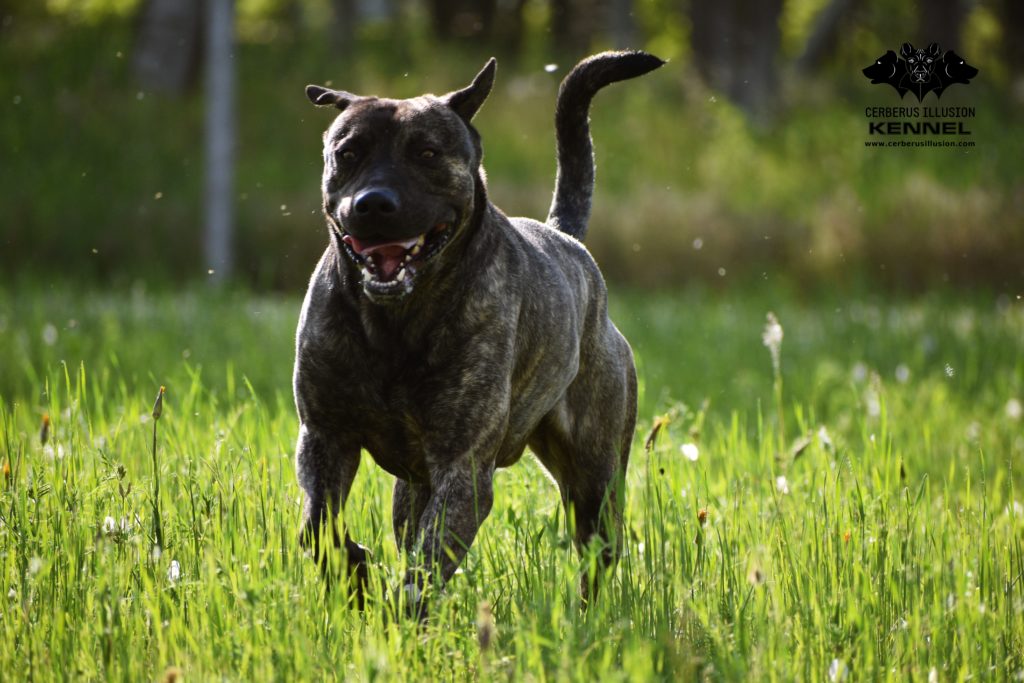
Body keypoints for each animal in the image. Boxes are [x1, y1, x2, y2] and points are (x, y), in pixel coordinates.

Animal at [296, 49, 663, 614]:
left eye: (427, 152)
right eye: (348, 152)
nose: (372, 203)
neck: (395, 322)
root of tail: (567, 240)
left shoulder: (463, 468)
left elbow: (426, 565)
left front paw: (404, 611)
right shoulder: (324, 436)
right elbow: (319, 527)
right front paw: (354, 572)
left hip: (595, 476)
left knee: (596, 553)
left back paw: (588, 617)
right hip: (413, 486)